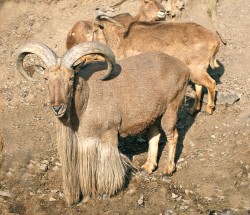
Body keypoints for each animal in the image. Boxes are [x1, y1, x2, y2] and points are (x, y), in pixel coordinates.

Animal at [16, 41, 189, 204]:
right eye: (46, 78)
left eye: (71, 78)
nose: (57, 108)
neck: (87, 97)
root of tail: (183, 67)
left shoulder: (109, 133)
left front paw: (106, 192)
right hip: (153, 115)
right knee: (155, 134)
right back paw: (148, 167)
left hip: (171, 108)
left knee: (173, 134)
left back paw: (168, 169)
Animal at [67, 17, 221, 115]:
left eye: (82, 38)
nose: (74, 62)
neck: (120, 41)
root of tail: (215, 40)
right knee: (200, 86)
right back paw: (193, 110)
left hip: (197, 69)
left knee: (211, 83)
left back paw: (209, 109)